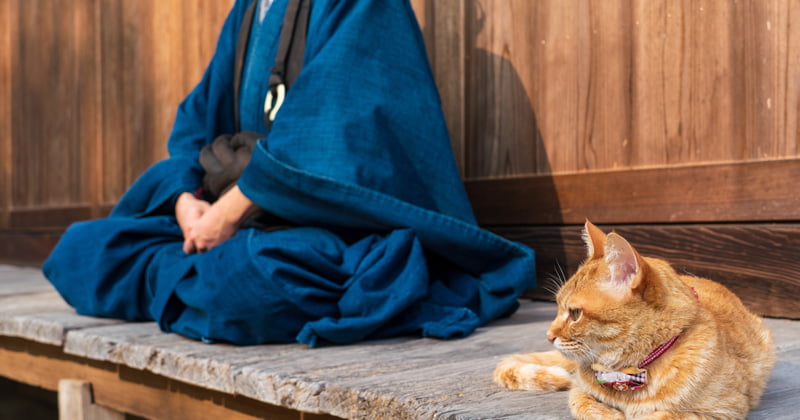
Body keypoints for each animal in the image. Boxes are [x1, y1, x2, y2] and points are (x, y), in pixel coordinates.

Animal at [494, 221, 776, 418]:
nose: (548, 336)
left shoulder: (724, 410)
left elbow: (661, 417)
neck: (626, 374)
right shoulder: (579, 392)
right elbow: (585, 405)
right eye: (557, 307)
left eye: (574, 314)